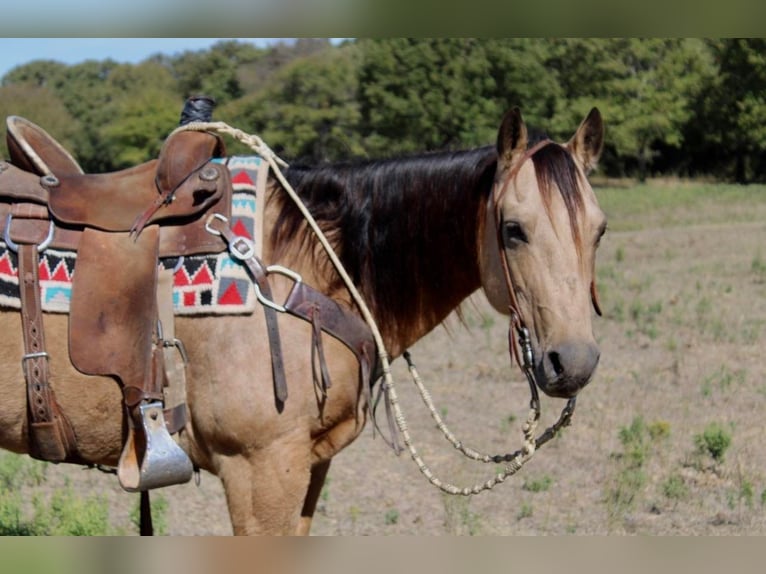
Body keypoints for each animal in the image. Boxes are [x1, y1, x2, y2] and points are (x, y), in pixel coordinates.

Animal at [0, 104, 608, 540]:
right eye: (512, 229)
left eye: (599, 230)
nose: (573, 362)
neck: (315, 263)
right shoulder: (259, 472)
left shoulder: (308, 467)